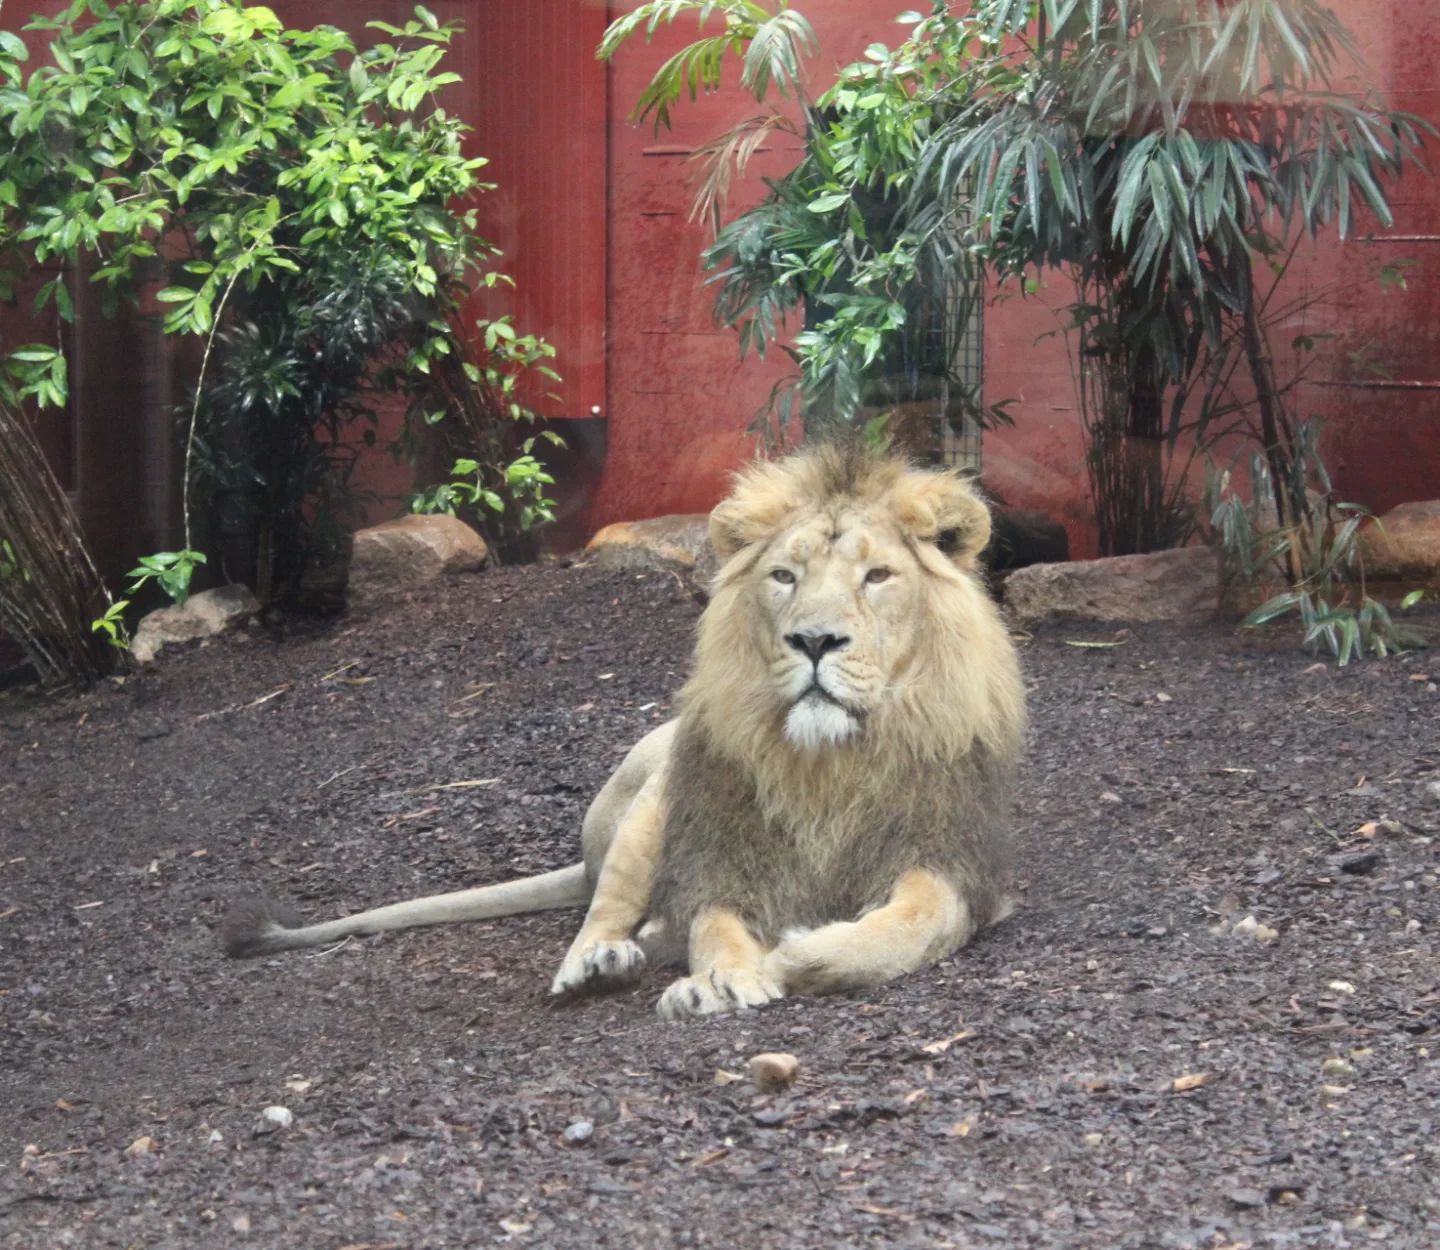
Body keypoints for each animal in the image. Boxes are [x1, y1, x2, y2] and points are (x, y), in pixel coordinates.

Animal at [223, 444, 1027, 1019]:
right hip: (650, 798)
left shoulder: (955, 860)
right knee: (604, 908)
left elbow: (912, 925)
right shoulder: (717, 855)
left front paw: (797, 956)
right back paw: (600, 965)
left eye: (878, 576)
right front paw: (725, 978)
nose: (814, 641)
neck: (829, 761)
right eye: (784, 576)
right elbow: (712, 926)